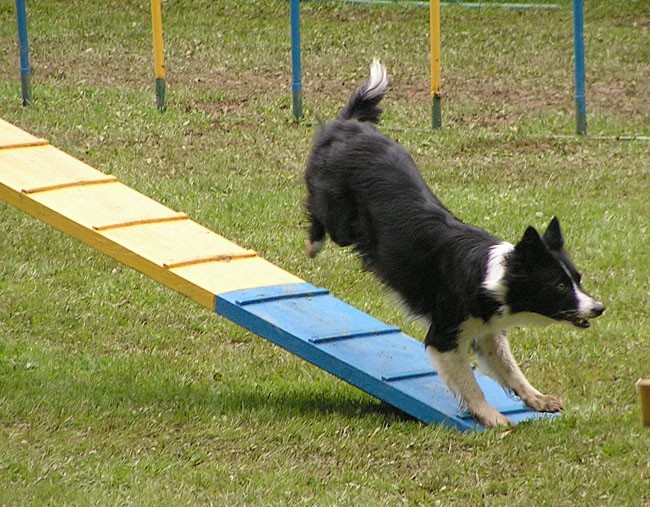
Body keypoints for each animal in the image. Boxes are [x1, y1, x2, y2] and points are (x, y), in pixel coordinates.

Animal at [304, 60, 604, 428]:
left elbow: (511, 370)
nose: (599, 308)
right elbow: (471, 384)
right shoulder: (444, 335)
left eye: (578, 279)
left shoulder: (488, 332)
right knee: (318, 213)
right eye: (559, 285)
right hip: (341, 221)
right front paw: (492, 418)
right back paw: (313, 243)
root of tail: (349, 125)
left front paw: (537, 398)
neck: (492, 277)